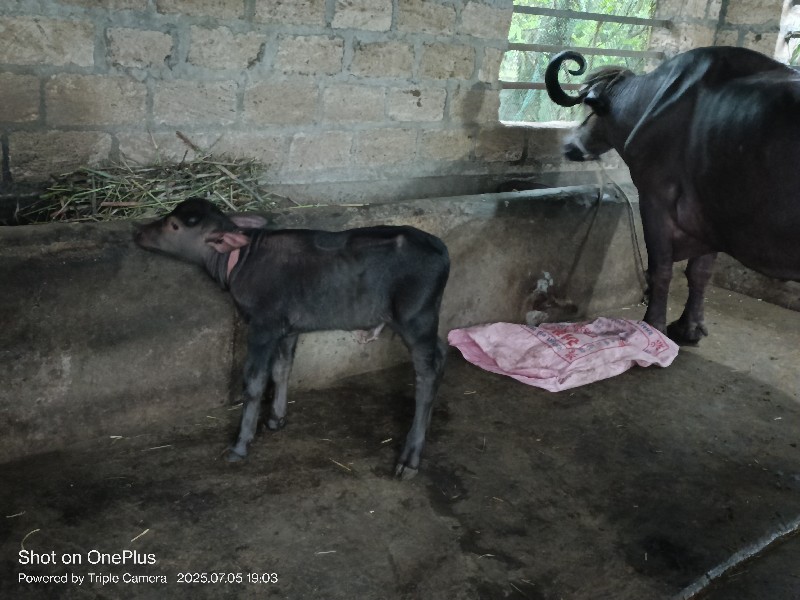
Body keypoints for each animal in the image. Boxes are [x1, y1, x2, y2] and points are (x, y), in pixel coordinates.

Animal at [134, 198, 450, 478]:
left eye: (174, 225)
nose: (138, 231)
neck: (240, 260)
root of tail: (441, 248)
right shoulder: (288, 328)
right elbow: (282, 368)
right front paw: (276, 418)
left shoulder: (263, 326)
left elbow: (255, 382)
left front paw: (241, 443)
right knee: (441, 351)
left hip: (416, 319)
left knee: (428, 372)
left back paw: (410, 457)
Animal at [545, 46, 800, 344]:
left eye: (590, 110)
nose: (570, 146)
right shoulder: (711, 213)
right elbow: (700, 272)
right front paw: (689, 327)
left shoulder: (656, 200)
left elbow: (661, 269)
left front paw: (655, 325)